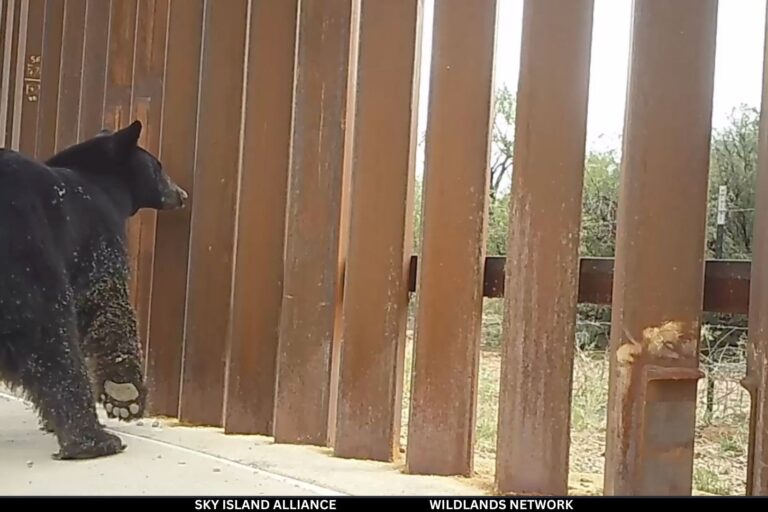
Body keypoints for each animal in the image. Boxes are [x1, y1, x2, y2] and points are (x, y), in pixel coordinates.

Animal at [0, 121, 186, 460]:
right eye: (158, 167)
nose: (182, 194)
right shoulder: (97, 235)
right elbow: (105, 299)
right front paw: (123, 394)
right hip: (28, 254)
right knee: (52, 341)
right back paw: (93, 440)